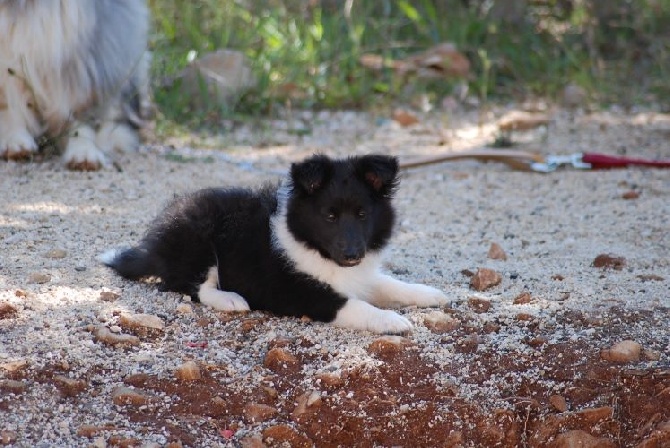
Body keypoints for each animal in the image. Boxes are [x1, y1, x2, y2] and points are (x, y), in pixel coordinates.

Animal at [102, 154, 448, 332]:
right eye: (330, 216)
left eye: (363, 214)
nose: (352, 255)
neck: (314, 247)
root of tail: (154, 247)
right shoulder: (294, 290)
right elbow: (353, 304)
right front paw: (392, 320)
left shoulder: (358, 274)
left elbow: (387, 283)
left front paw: (429, 294)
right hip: (197, 233)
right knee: (191, 285)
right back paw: (230, 299)